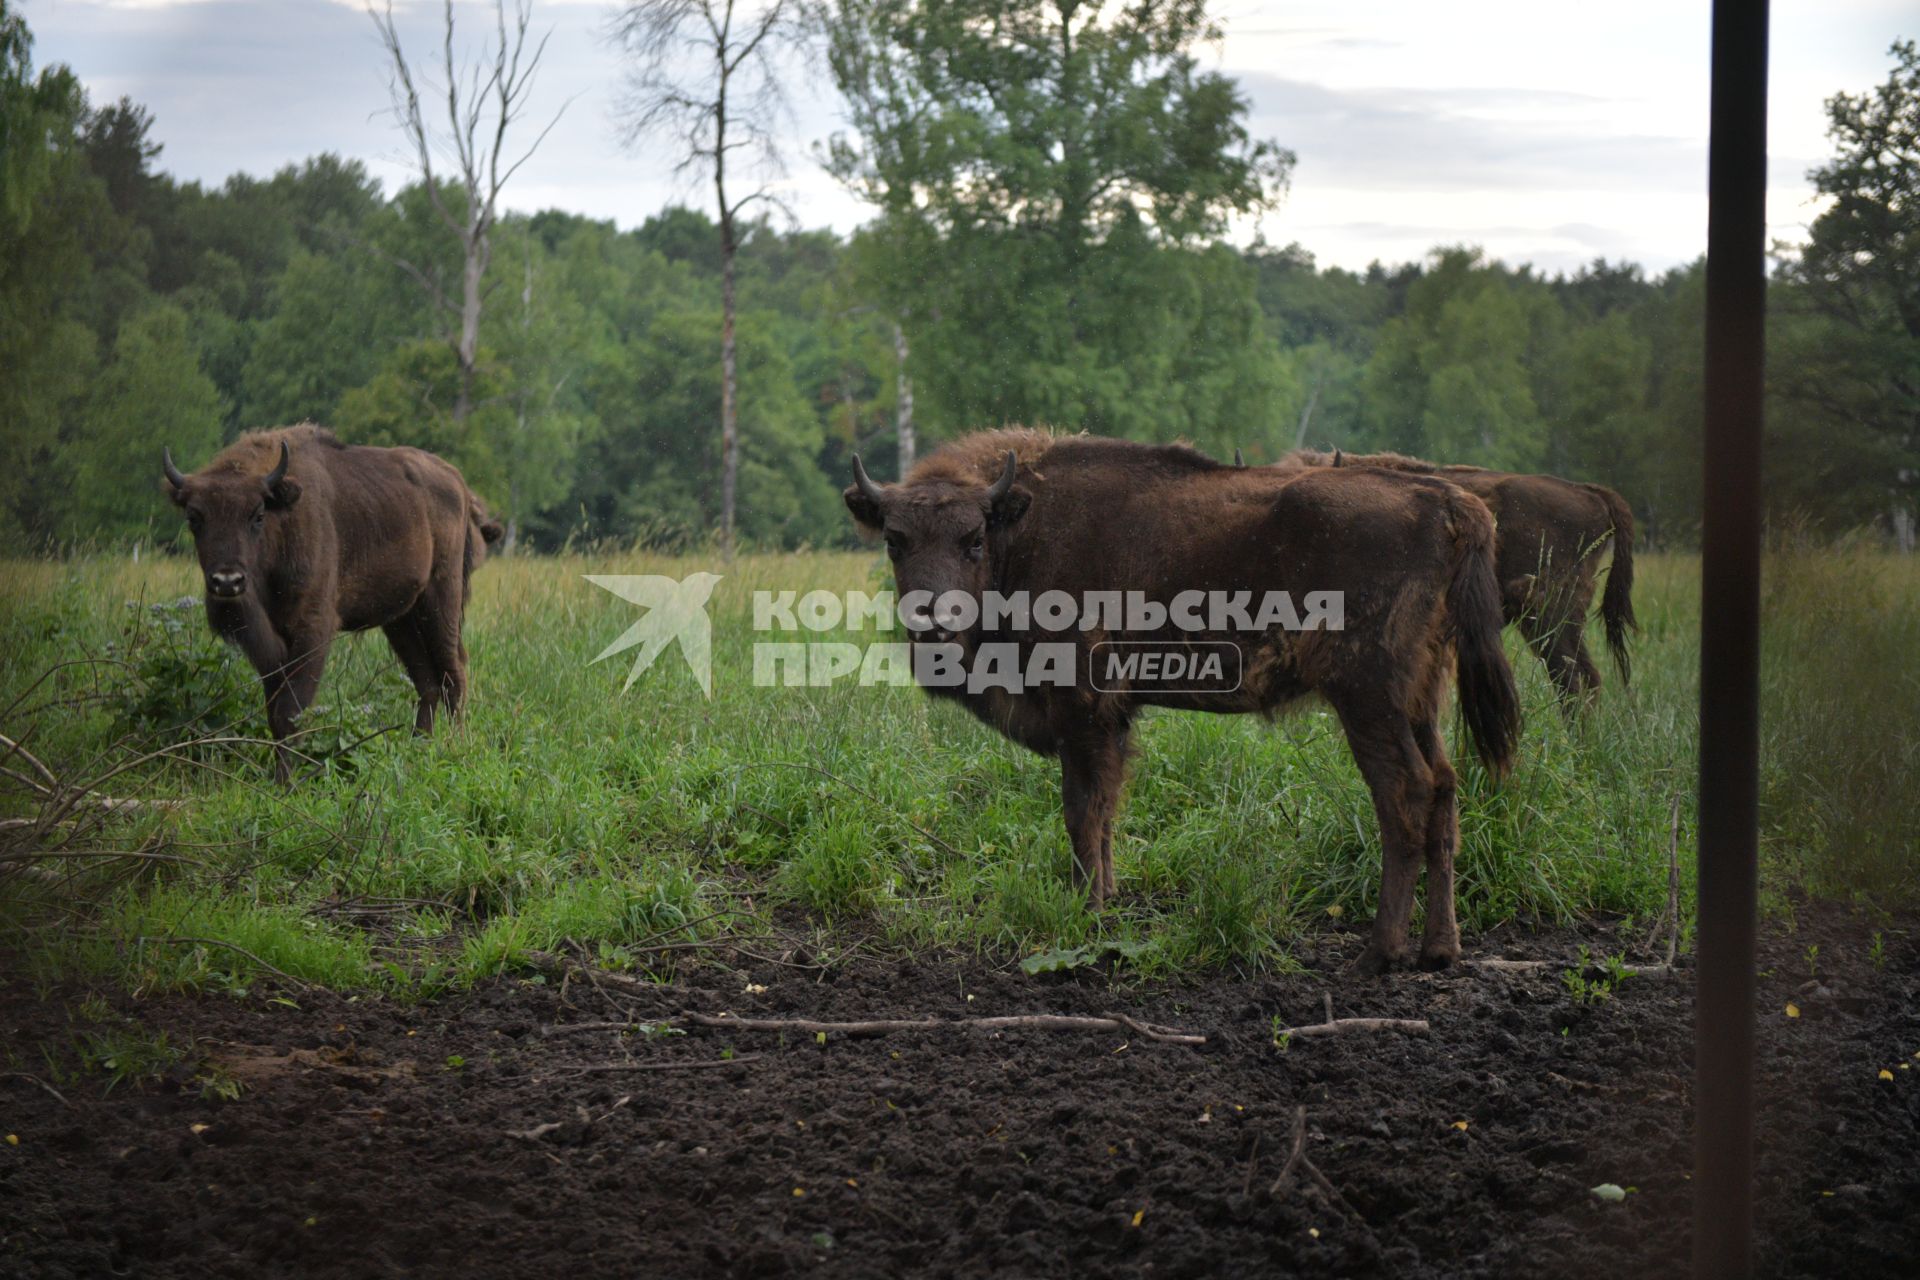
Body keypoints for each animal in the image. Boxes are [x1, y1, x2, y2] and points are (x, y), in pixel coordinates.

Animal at [162, 426, 503, 782]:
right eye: (194, 517)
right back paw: (419, 746)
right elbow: (274, 711)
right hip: (401, 619)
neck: (282, 523)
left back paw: (456, 745)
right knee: (427, 682)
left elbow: (290, 711)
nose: (227, 581)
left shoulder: (312, 630)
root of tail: (457, 481)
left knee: (454, 673)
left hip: (441, 599)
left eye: (257, 515)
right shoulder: (269, 646)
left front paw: (286, 781)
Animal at [840, 429, 1512, 971]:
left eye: (973, 538)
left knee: (1405, 796)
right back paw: (1440, 950)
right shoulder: (1112, 720)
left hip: (1370, 699)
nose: (933, 625)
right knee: (1445, 791)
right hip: (1422, 698)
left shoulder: (1080, 710)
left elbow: (1081, 812)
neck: (1024, 530)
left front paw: (1086, 911)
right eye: (895, 540)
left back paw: (1380, 953)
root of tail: (1450, 503)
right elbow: (1107, 812)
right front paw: (1108, 899)